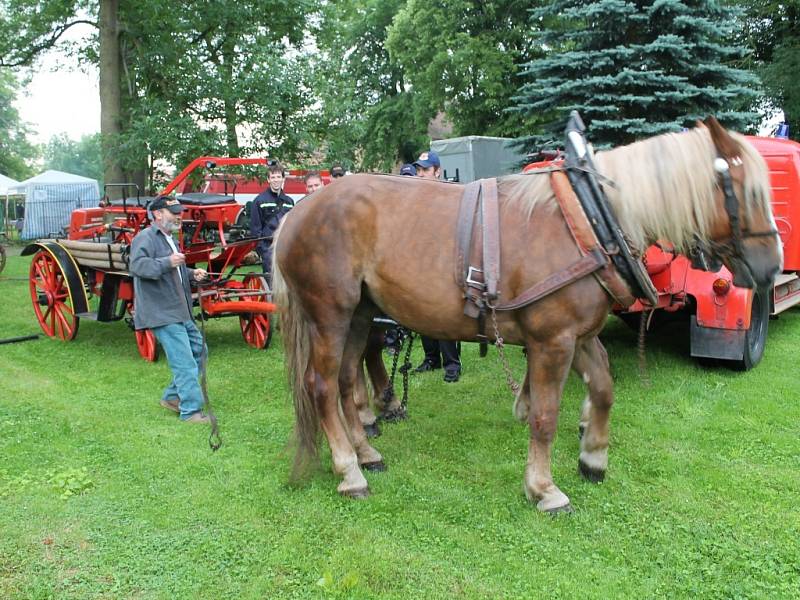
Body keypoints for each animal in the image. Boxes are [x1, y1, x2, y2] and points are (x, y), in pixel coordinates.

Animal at [274, 119, 780, 512]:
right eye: (750, 193)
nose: (772, 266)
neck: (590, 220)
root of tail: (299, 212)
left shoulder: (579, 336)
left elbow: (604, 389)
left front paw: (593, 457)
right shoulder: (553, 340)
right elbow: (545, 415)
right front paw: (543, 488)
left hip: (359, 315)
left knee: (346, 381)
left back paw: (366, 452)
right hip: (329, 314)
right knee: (321, 386)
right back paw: (349, 472)